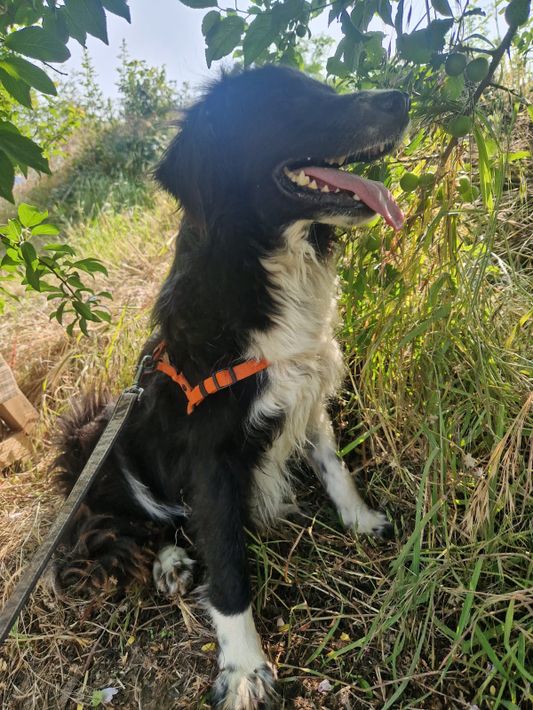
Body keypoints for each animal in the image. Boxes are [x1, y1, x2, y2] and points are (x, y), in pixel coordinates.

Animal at [54, 65, 409, 708]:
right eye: (286, 101)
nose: (403, 98)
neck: (265, 265)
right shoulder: (210, 455)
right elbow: (226, 561)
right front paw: (245, 668)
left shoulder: (305, 385)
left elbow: (333, 463)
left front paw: (359, 518)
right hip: (107, 446)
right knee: (125, 526)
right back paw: (169, 562)